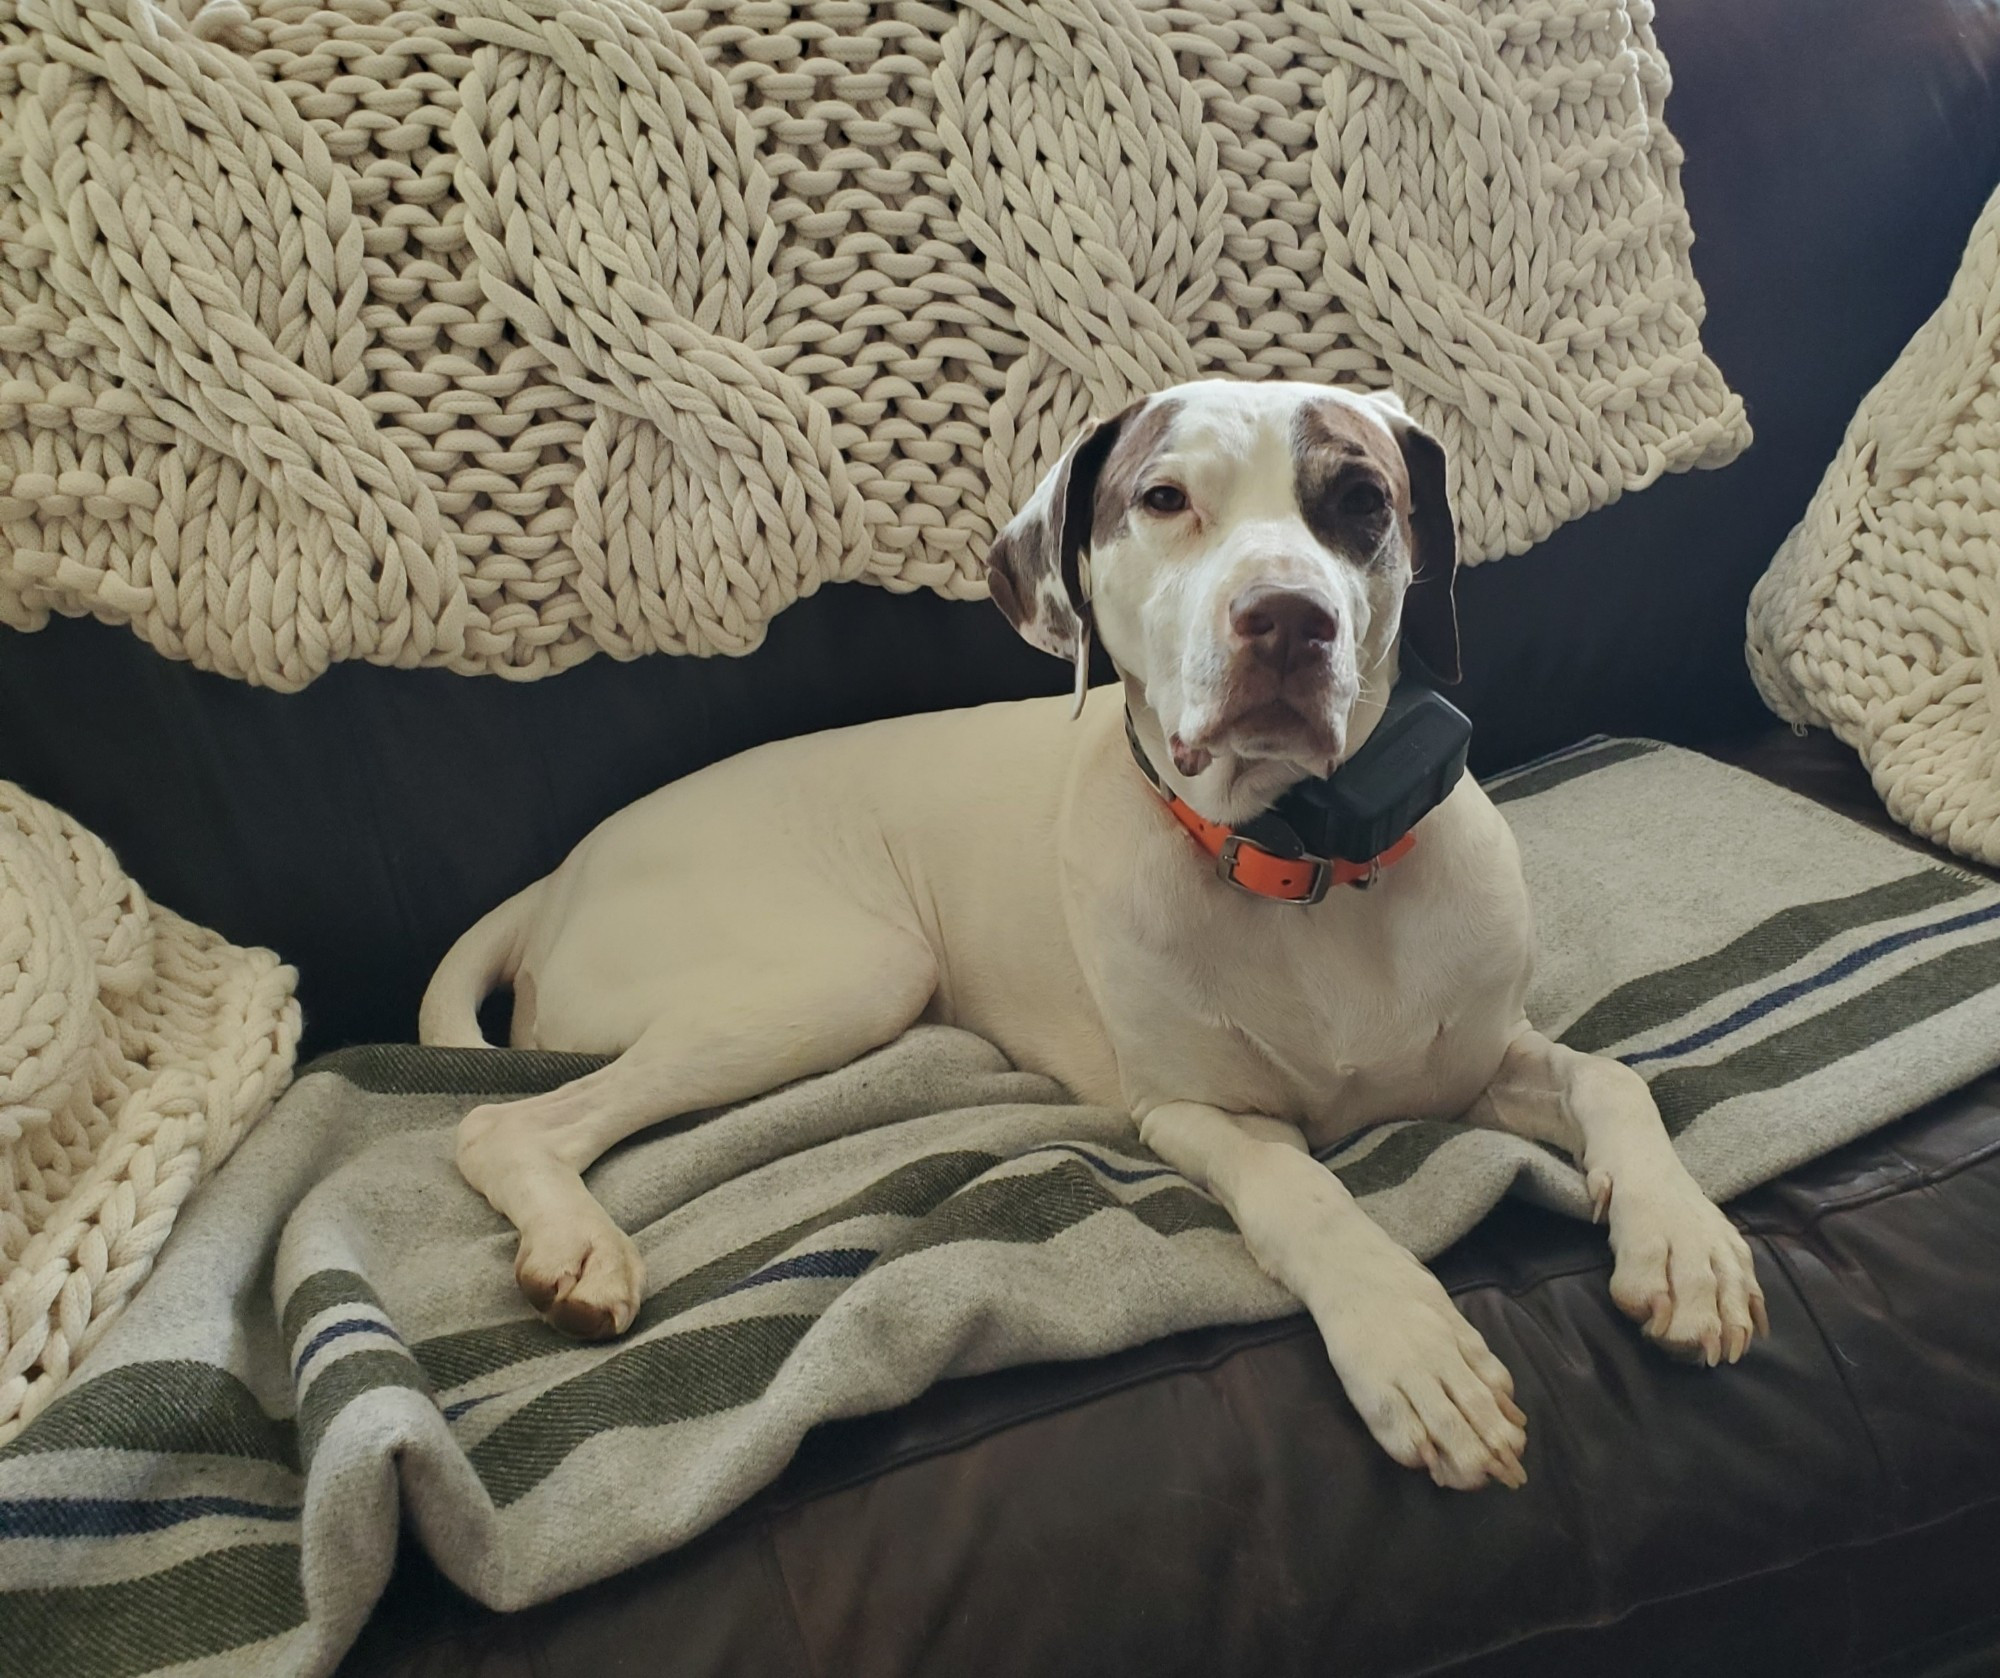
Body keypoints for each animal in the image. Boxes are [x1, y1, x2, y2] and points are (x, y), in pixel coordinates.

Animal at [422, 378, 1768, 1480]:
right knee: (503, 1122)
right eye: (1163, 498)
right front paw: (1407, 1344)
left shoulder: (1480, 1055)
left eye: (1360, 500)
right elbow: (1305, 1196)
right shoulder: (1192, 1112)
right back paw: (580, 1249)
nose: (1286, 620)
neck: (1307, 862)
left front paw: (1684, 1246)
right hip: (849, 972)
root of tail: (557, 876)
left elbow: (1611, 1082)